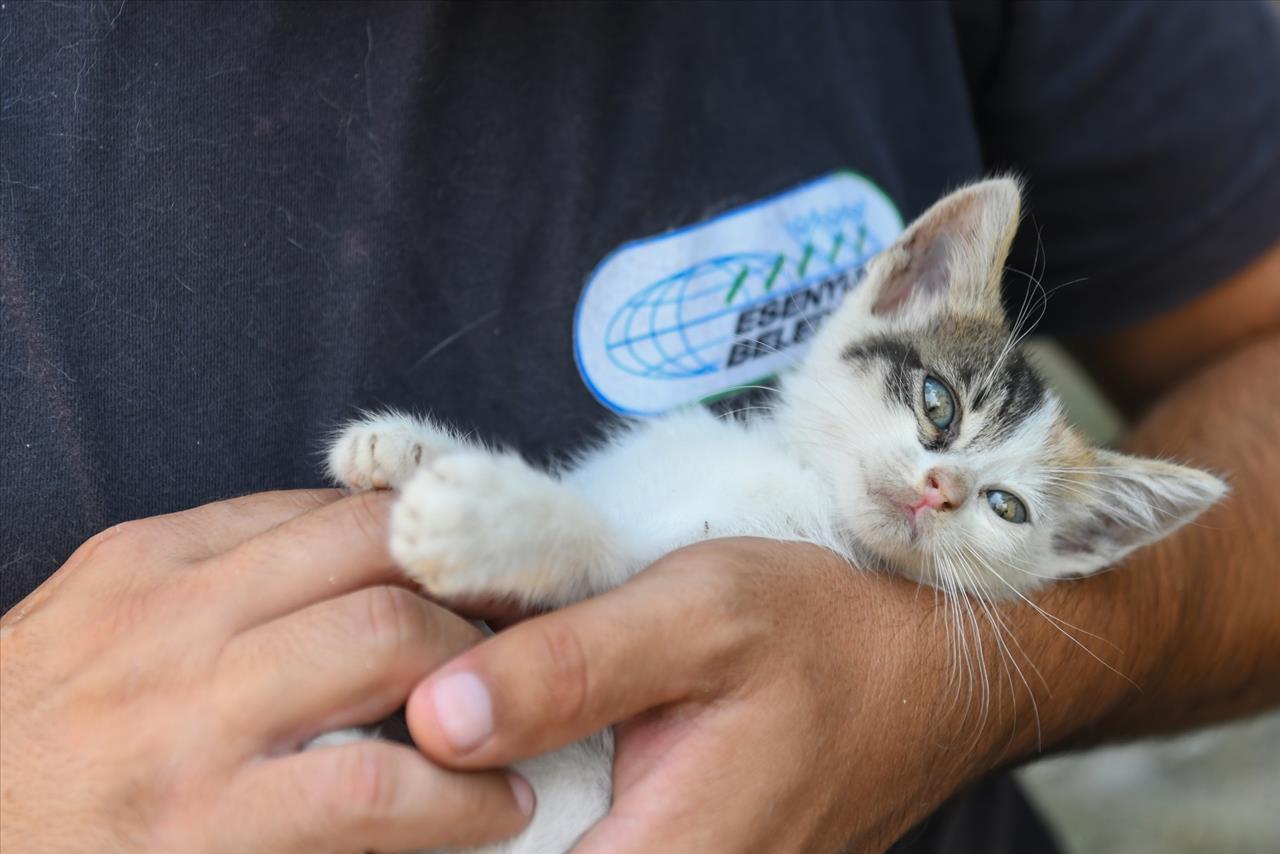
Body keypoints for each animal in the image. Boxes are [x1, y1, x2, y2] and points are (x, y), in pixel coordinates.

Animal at [325, 176, 1223, 850]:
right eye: (938, 404)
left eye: (1007, 507)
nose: (943, 489)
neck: (797, 483)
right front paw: (405, 448)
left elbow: (605, 550)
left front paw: (487, 520)